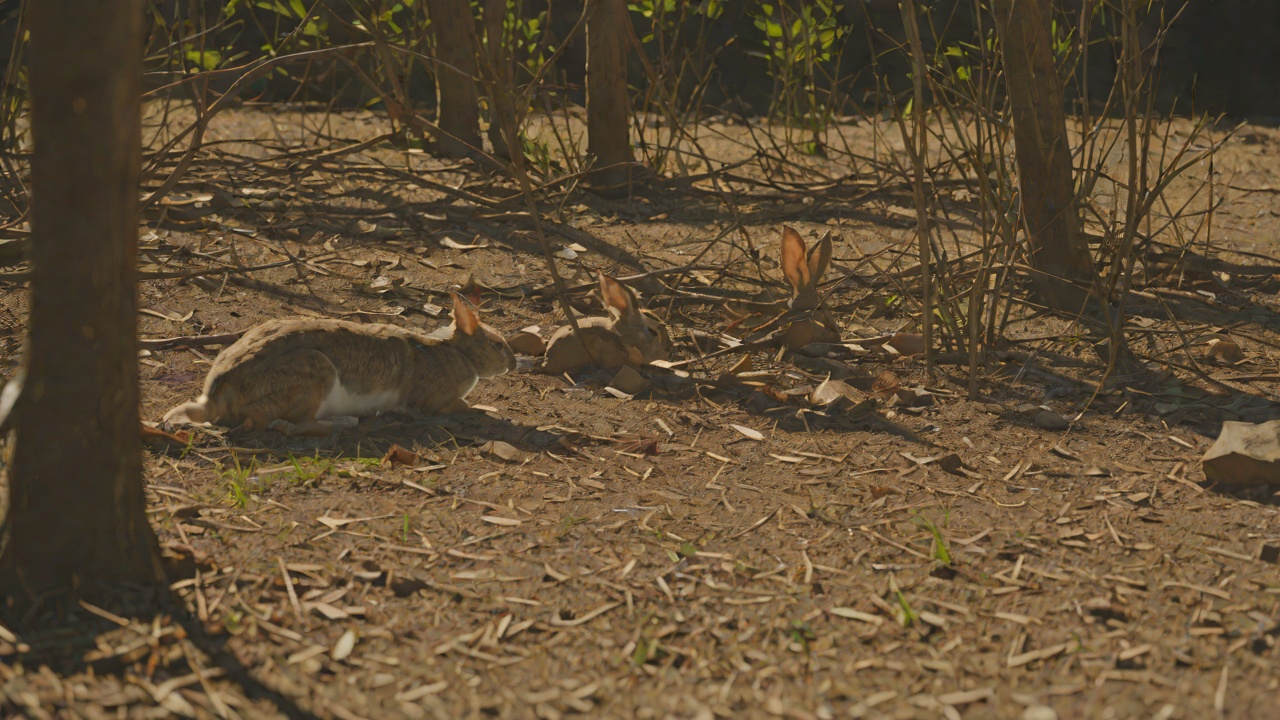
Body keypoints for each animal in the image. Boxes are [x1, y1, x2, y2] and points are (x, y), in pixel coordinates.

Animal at [163, 293, 516, 436]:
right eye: (497, 344)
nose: (513, 363)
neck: (458, 353)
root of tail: (215, 397)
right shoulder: (433, 400)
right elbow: (459, 405)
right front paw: (488, 410)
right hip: (315, 375)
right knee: (285, 423)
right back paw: (344, 422)